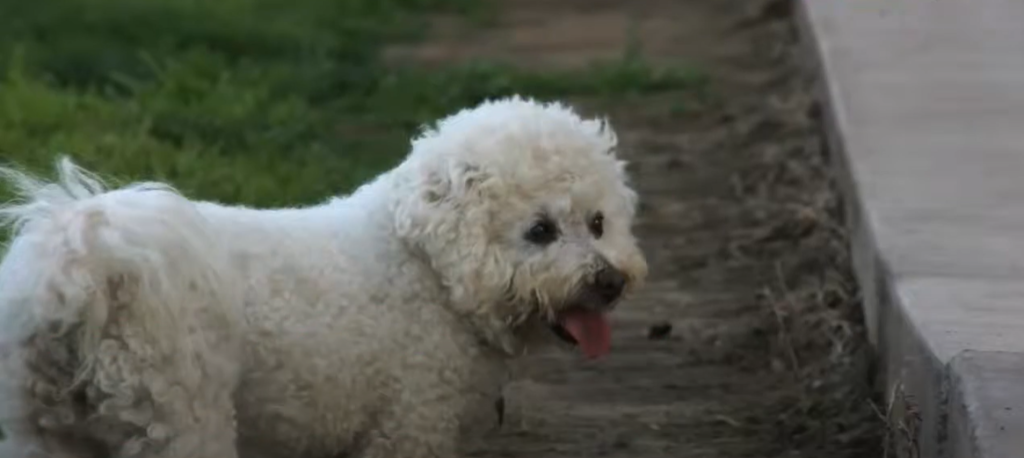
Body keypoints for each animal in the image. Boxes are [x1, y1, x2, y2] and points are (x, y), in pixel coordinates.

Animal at [0, 97, 643, 458]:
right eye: (540, 231)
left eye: (599, 223)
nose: (609, 282)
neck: (423, 268)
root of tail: (82, 265)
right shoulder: (406, 428)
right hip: (180, 422)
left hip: (44, 436)